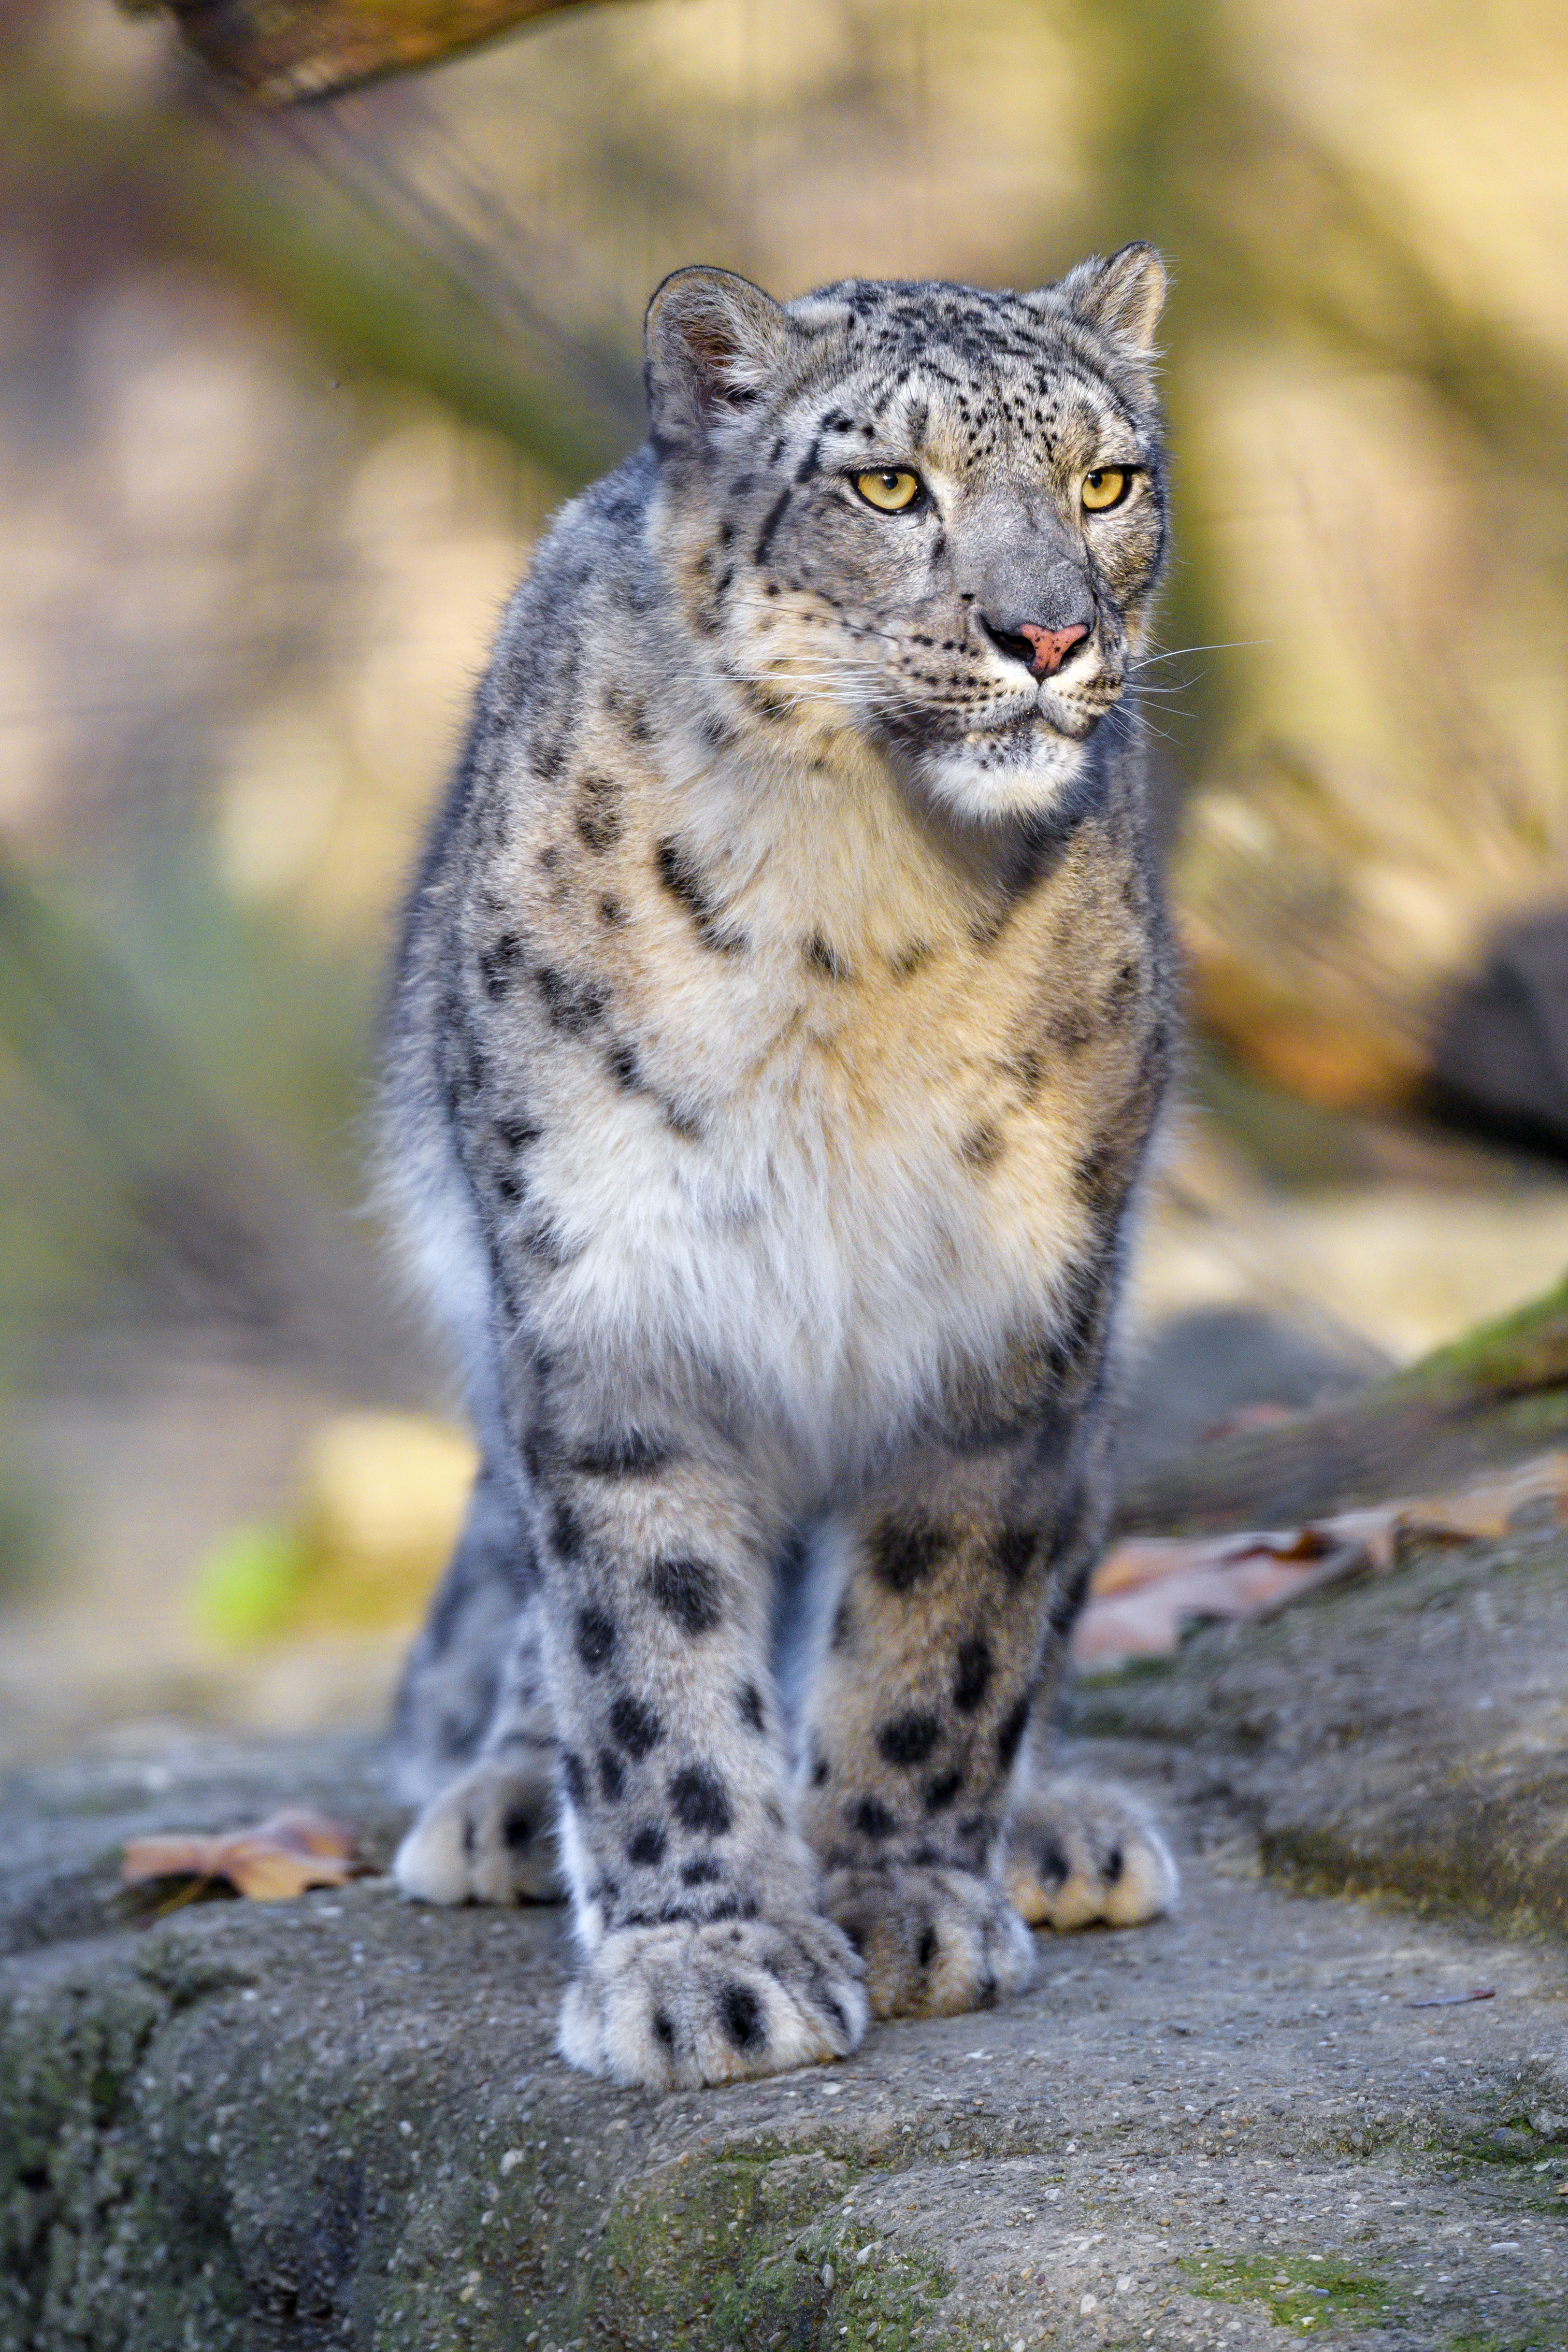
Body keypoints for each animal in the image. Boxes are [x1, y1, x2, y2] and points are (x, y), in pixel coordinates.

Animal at [385, 248, 1184, 2088]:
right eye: (888, 485)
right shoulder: (615, 1298)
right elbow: (648, 1640)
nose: (1048, 633)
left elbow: (944, 1625)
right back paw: (507, 1799)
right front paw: (710, 1962)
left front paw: (900, 1896)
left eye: (1107, 482)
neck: (854, 926)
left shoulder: (1011, 1318)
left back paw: (1061, 1821)